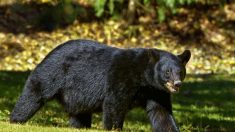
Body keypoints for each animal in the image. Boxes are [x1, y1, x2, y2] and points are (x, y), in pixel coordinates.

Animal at [10, 39, 191, 131]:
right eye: (167, 72)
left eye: (180, 72)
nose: (177, 84)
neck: (144, 78)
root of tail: (51, 50)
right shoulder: (121, 77)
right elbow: (115, 104)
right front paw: (114, 128)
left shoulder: (156, 91)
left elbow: (161, 112)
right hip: (53, 73)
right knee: (34, 93)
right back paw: (16, 119)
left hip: (76, 94)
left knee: (79, 111)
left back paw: (80, 126)